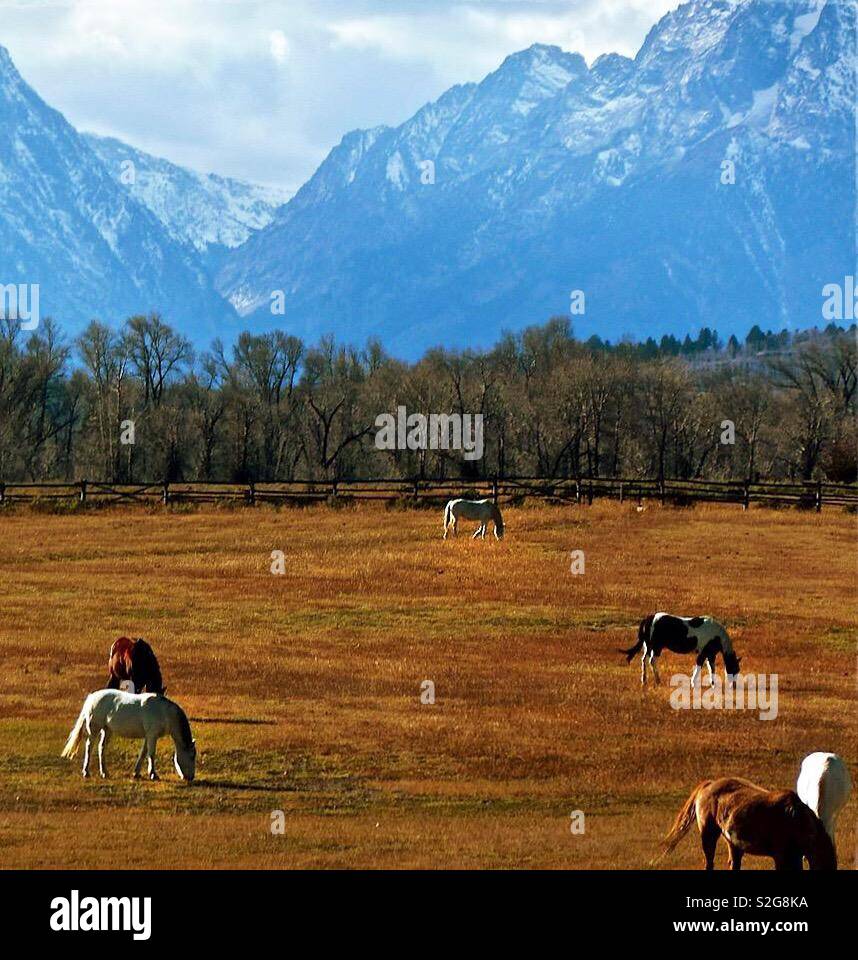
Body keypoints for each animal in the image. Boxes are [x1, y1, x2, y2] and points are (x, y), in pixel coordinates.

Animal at [61, 689, 196, 782]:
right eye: (191, 757)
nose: (191, 777)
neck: (164, 712)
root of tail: (92, 697)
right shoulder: (152, 735)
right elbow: (151, 754)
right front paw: (153, 774)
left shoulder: (148, 736)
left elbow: (143, 753)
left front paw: (136, 773)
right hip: (94, 729)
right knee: (89, 748)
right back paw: (86, 772)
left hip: (107, 730)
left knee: (101, 748)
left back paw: (104, 773)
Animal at [658, 777, 836, 870]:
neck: (795, 820)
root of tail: (709, 784)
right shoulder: (782, 857)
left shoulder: (795, 857)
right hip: (709, 835)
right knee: (709, 862)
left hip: (733, 843)